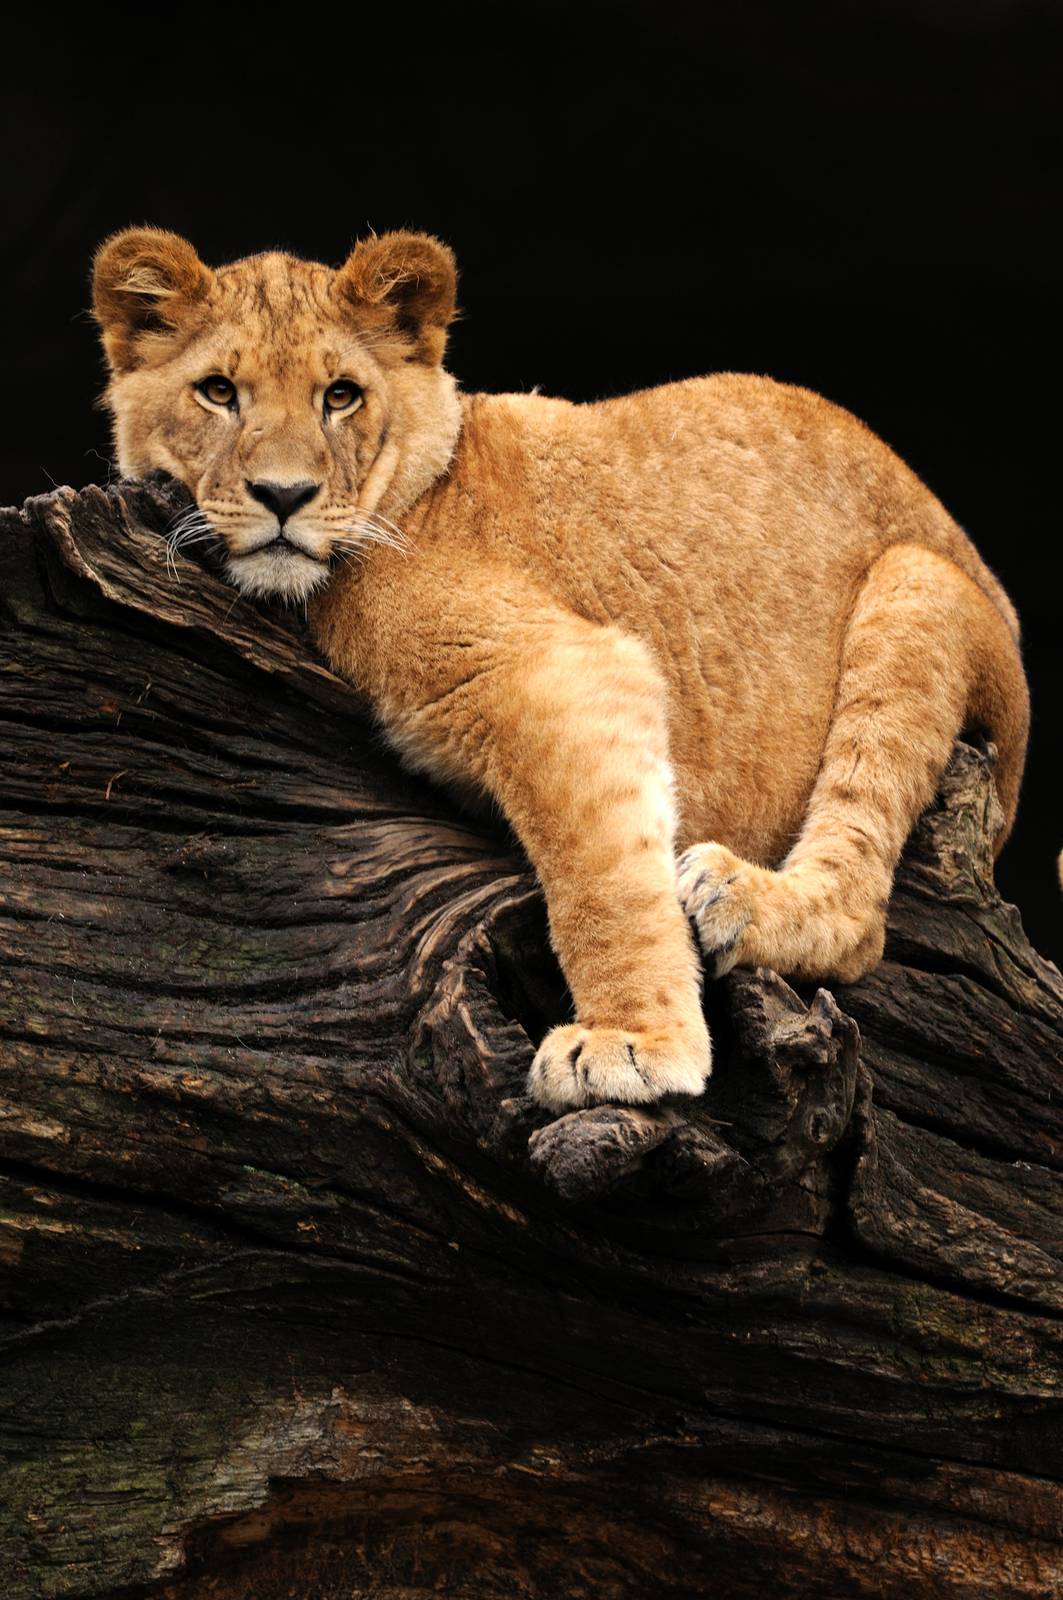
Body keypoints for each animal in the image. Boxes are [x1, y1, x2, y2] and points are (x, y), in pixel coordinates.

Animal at [91, 226, 1029, 1114]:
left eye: (340, 396)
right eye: (219, 391)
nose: (283, 497)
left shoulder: (562, 664)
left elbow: (601, 878)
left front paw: (632, 1043)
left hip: (915, 587)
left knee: (861, 914)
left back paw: (735, 895)